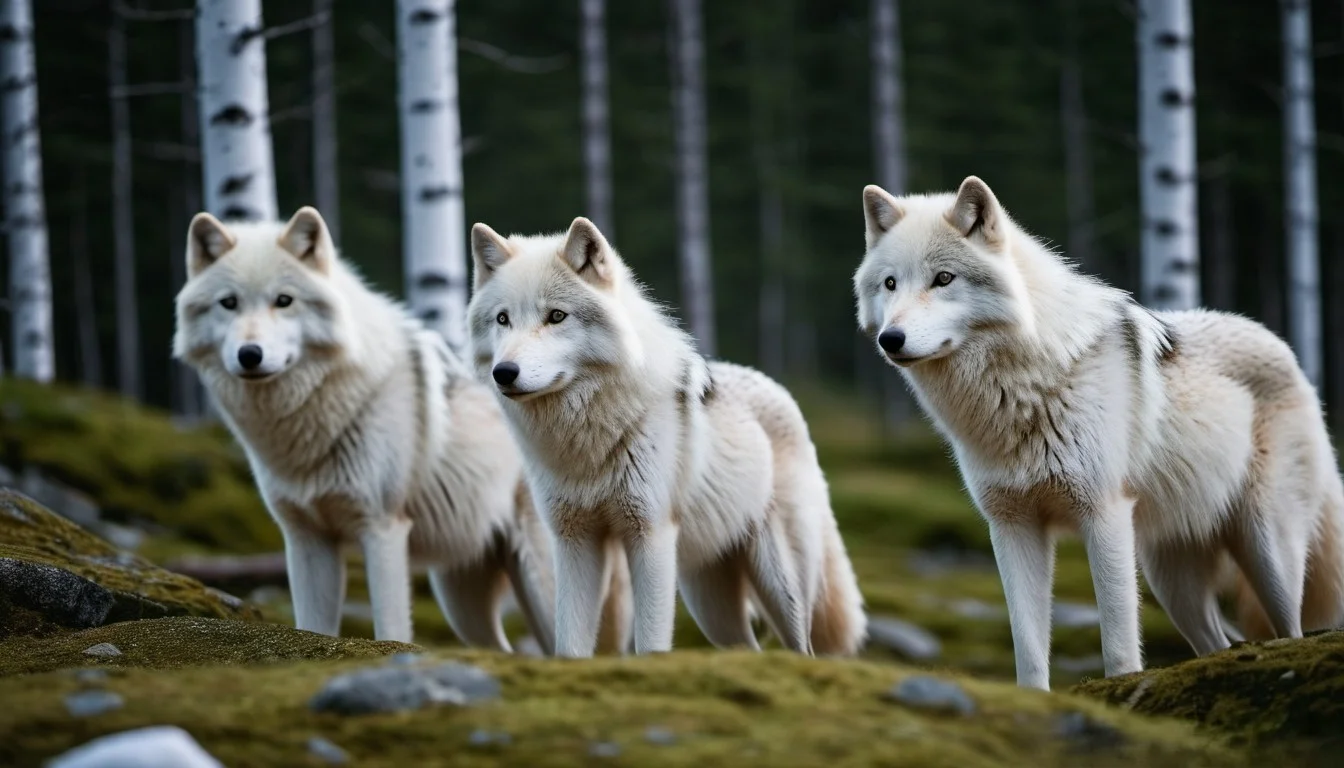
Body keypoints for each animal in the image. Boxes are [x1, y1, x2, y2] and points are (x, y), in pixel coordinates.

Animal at [172, 206, 632, 652]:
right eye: (228, 303)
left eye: (283, 301)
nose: (250, 355)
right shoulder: (305, 540)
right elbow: (312, 627)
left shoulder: (383, 530)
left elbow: (390, 629)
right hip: (461, 600)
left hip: (541, 579)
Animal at [465, 216, 867, 658]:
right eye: (503, 319)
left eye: (556, 316)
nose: (504, 372)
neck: (587, 439)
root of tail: (781, 392)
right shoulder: (573, 541)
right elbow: (569, 643)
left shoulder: (650, 536)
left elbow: (652, 643)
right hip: (710, 603)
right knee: (748, 648)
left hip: (780, 584)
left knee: (803, 649)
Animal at [853, 175, 1344, 690]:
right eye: (890, 283)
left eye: (943, 279)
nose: (890, 339)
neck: (1025, 388)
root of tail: (1285, 350)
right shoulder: (1011, 526)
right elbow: (1028, 647)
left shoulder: (1104, 515)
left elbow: (1119, 642)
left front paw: (1119, 685)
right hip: (1173, 581)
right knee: (1220, 643)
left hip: (1267, 552)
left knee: (1291, 631)